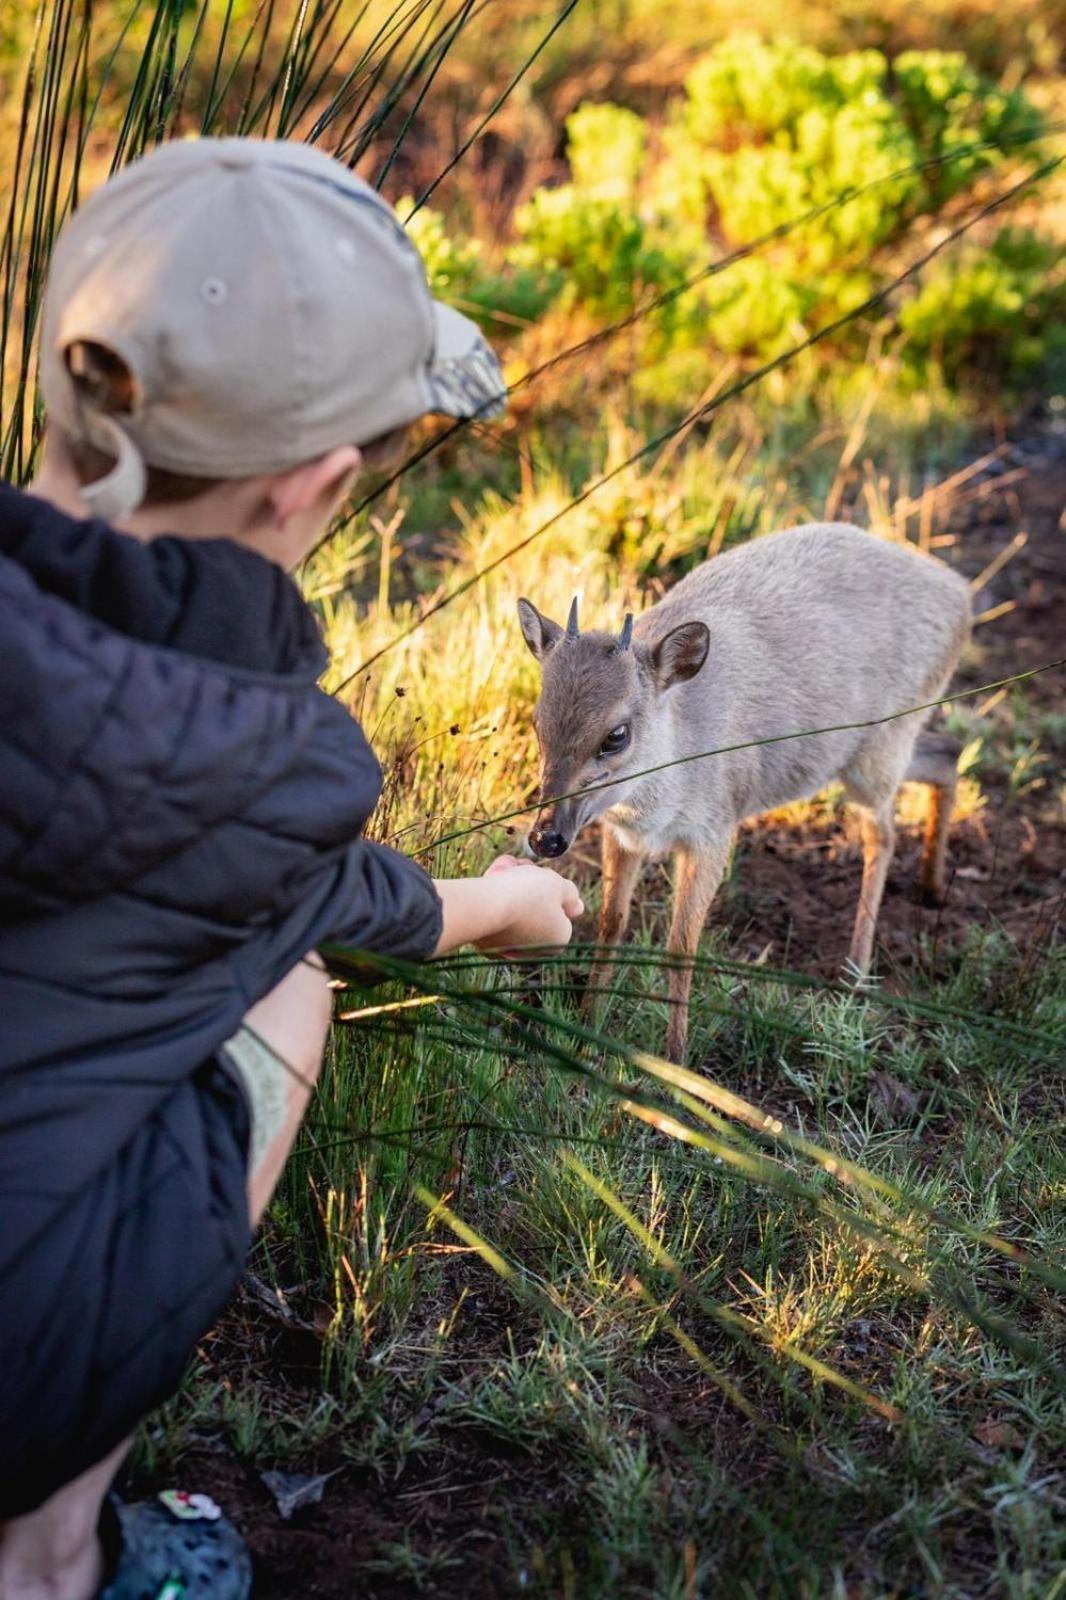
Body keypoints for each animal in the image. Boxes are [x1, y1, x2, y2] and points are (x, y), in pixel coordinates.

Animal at [515, 524, 973, 1062]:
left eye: (616, 734)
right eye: (537, 721)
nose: (545, 838)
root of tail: (960, 595)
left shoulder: (715, 831)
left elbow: (681, 946)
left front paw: (675, 1059)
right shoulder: (622, 834)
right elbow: (611, 924)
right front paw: (586, 1030)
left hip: (878, 751)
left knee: (882, 833)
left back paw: (856, 973)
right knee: (948, 753)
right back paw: (931, 887)